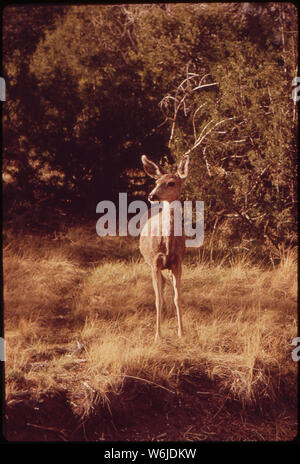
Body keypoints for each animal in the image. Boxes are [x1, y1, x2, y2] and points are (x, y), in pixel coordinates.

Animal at [139, 156, 190, 340]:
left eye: (171, 183)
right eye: (156, 181)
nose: (152, 195)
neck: (167, 245)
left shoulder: (178, 263)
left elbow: (178, 298)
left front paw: (181, 332)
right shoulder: (155, 262)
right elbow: (157, 299)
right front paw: (158, 336)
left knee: (164, 283)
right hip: (149, 263)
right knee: (159, 287)